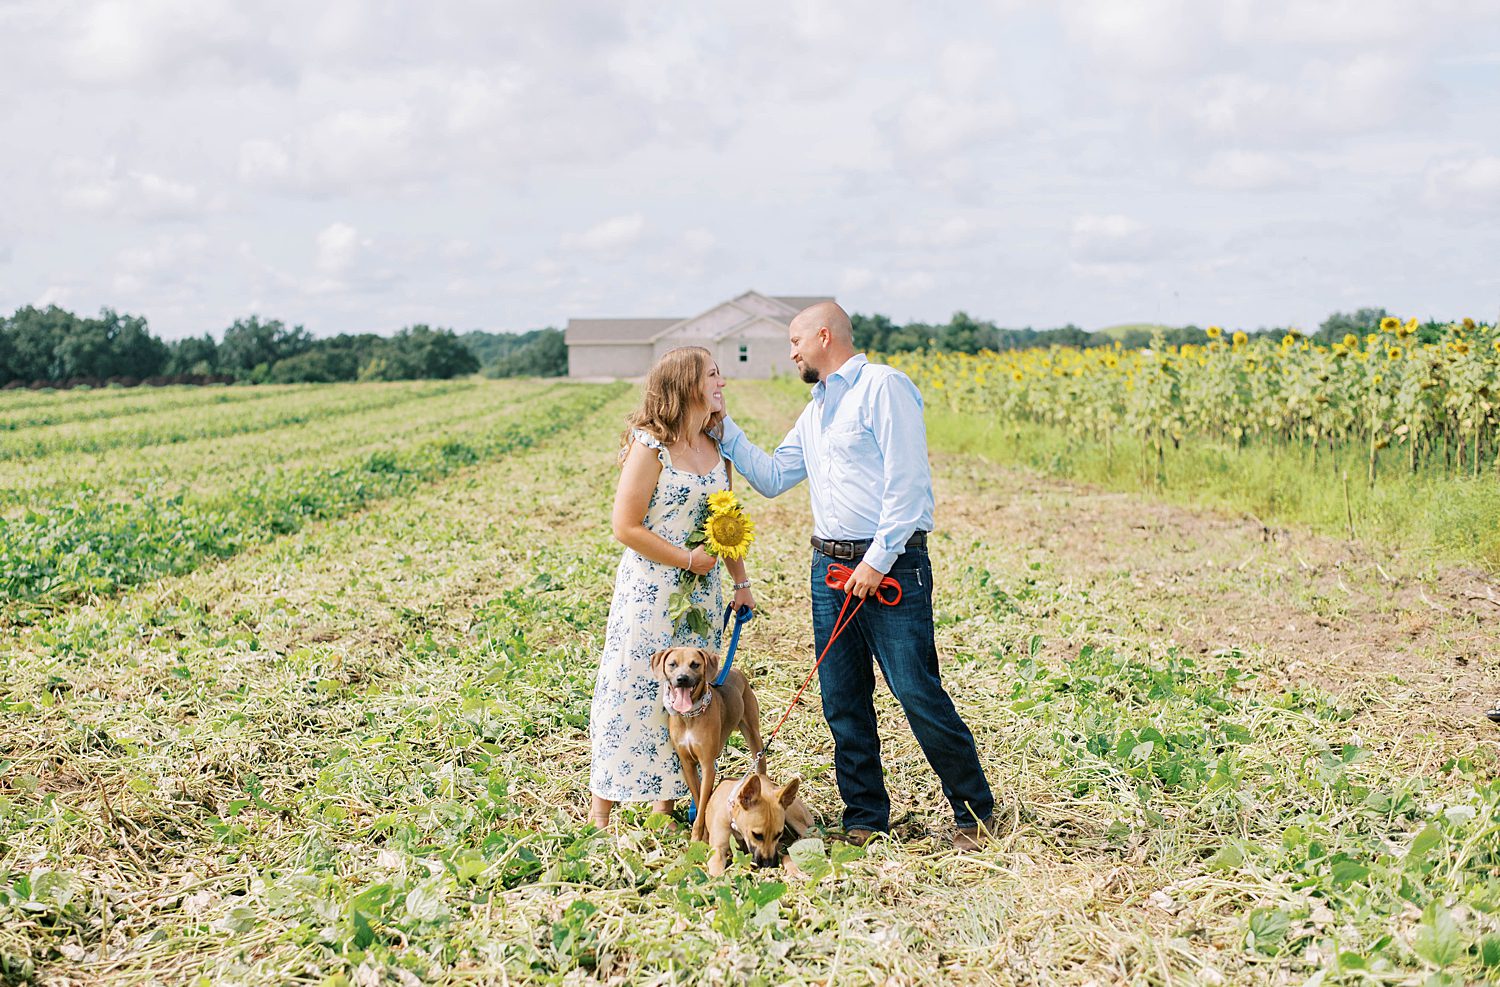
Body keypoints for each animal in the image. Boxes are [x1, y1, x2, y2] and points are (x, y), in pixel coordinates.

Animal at [654, 645, 768, 840]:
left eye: (695, 664)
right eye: (672, 664)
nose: (682, 679)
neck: (690, 716)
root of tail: (735, 670)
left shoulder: (707, 765)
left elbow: (703, 806)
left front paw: (698, 838)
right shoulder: (688, 765)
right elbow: (700, 800)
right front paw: (702, 837)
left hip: (753, 734)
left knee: (760, 763)